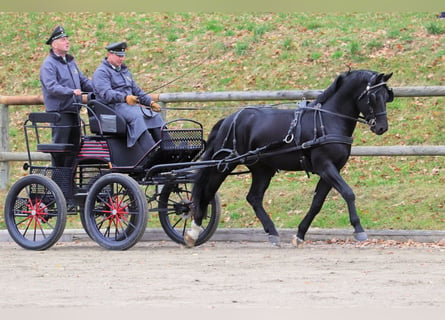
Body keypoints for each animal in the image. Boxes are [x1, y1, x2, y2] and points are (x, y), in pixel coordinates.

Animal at [184, 70, 392, 248]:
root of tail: (228, 119)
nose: (382, 127)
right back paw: (193, 232)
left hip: (262, 169)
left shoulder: (331, 170)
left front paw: (299, 234)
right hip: (224, 165)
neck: (328, 120)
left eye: (386, 96)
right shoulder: (325, 167)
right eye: (374, 97)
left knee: (254, 198)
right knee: (207, 192)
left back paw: (272, 233)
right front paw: (359, 229)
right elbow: (348, 193)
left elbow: (317, 203)